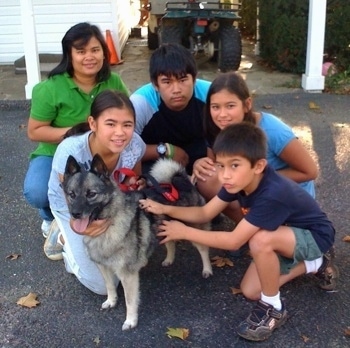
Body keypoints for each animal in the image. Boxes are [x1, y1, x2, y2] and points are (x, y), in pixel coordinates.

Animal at [61, 154, 212, 330]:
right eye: (71, 194)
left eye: (91, 194)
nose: (75, 213)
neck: (109, 225)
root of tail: (180, 181)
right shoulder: (103, 266)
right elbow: (109, 286)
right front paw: (111, 301)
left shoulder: (127, 275)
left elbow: (130, 300)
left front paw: (130, 320)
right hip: (165, 228)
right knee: (171, 242)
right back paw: (169, 259)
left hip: (192, 228)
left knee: (203, 249)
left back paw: (207, 269)